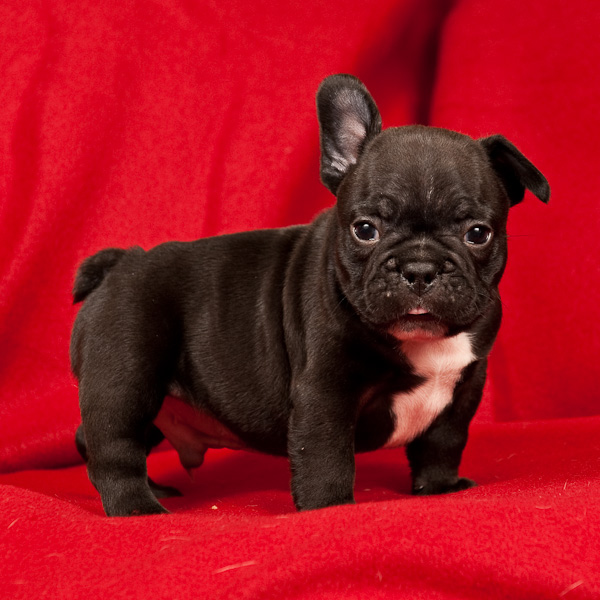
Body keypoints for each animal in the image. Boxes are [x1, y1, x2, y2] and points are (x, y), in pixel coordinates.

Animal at [70, 74, 548, 516]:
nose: (419, 268)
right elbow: (324, 455)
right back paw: (138, 506)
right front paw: (329, 508)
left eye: (478, 234)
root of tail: (120, 264)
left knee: (90, 438)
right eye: (365, 229)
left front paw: (440, 489)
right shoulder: (325, 391)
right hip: (125, 378)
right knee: (114, 445)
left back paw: (156, 489)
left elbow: (442, 444)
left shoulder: (462, 392)